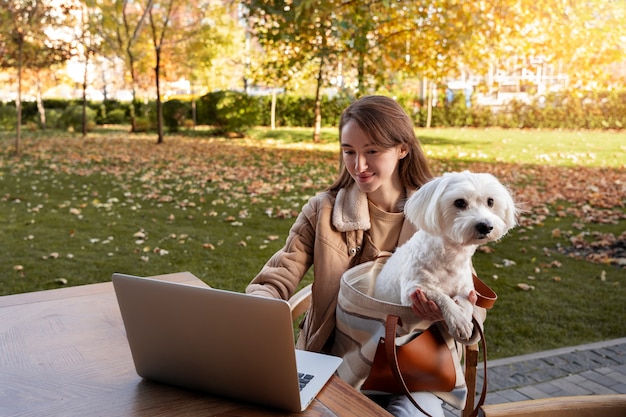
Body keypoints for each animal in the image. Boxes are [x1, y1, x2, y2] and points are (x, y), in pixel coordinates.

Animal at [372, 171, 516, 340]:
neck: (451, 256)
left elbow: (467, 303)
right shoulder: (414, 290)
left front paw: (464, 317)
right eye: (459, 202)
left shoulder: (466, 288)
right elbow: (442, 297)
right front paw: (458, 321)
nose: (485, 226)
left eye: (490, 201)